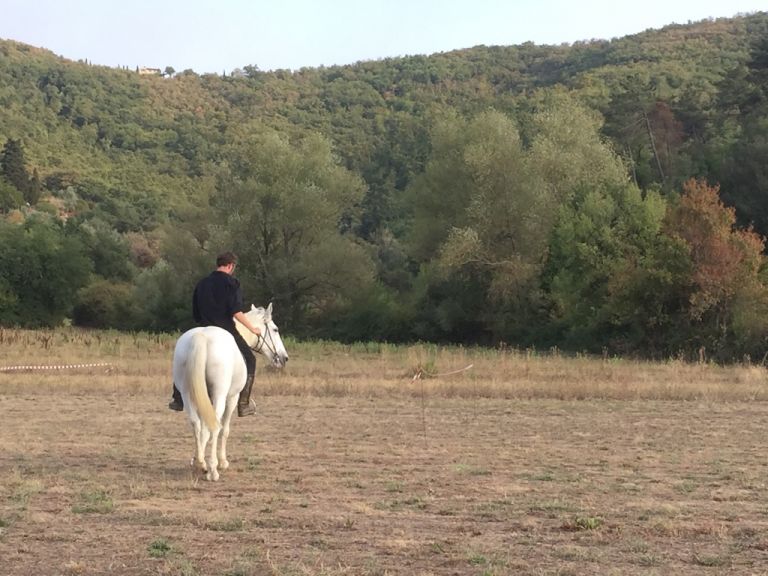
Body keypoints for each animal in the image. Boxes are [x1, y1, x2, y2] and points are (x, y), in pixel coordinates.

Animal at [172, 304, 290, 480]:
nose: (284, 358)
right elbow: (224, 430)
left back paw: (201, 464)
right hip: (220, 395)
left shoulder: (203, 397)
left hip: (187, 394)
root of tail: (202, 336)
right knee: (215, 426)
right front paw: (221, 462)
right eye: (275, 329)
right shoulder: (232, 398)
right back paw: (213, 470)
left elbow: (204, 429)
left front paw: (198, 460)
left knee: (196, 423)